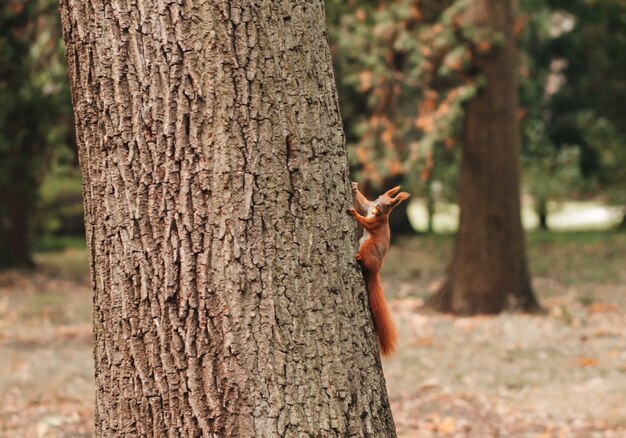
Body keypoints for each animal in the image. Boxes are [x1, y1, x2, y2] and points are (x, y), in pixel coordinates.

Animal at [346, 181, 410, 356]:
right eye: (379, 197)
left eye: (388, 205)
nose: (378, 207)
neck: (377, 215)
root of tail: (376, 271)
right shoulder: (368, 206)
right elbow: (363, 202)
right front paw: (355, 188)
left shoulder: (375, 224)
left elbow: (365, 221)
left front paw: (354, 214)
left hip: (369, 246)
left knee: (365, 260)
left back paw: (359, 258)